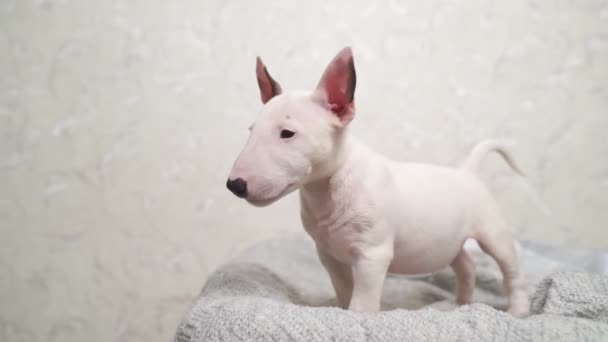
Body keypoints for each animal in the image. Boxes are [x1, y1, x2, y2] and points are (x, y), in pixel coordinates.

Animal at [226, 46, 528, 316]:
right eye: (251, 130)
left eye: (287, 133)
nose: (235, 185)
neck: (328, 189)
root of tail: (467, 172)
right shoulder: (328, 255)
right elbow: (344, 289)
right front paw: (341, 310)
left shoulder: (373, 255)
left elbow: (363, 301)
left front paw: (358, 317)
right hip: (449, 240)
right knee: (466, 264)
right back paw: (460, 303)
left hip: (492, 232)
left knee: (511, 271)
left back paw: (518, 310)